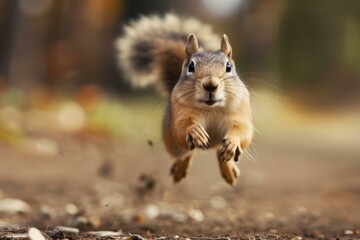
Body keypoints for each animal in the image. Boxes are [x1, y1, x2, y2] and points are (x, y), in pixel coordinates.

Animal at [116, 14, 255, 186]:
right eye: (191, 66)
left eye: (228, 66)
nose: (210, 85)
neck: (211, 107)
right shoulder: (181, 112)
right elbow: (182, 127)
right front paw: (195, 131)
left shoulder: (239, 112)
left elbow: (243, 130)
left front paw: (232, 143)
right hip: (172, 144)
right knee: (186, 152)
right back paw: (180, 169)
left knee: (217, 151)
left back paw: (228, 169)